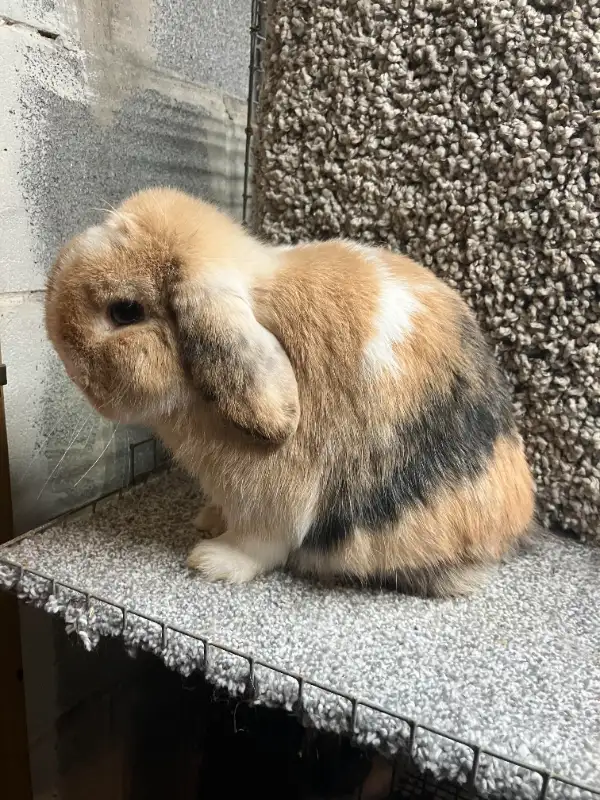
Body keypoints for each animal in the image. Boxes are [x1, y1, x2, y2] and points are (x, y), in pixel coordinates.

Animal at [45, 187, 535, 596]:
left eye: (125, 311)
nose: (65, 354)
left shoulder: (273, 494)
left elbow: (259, 544)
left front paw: (210, 560)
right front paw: (206, 520)